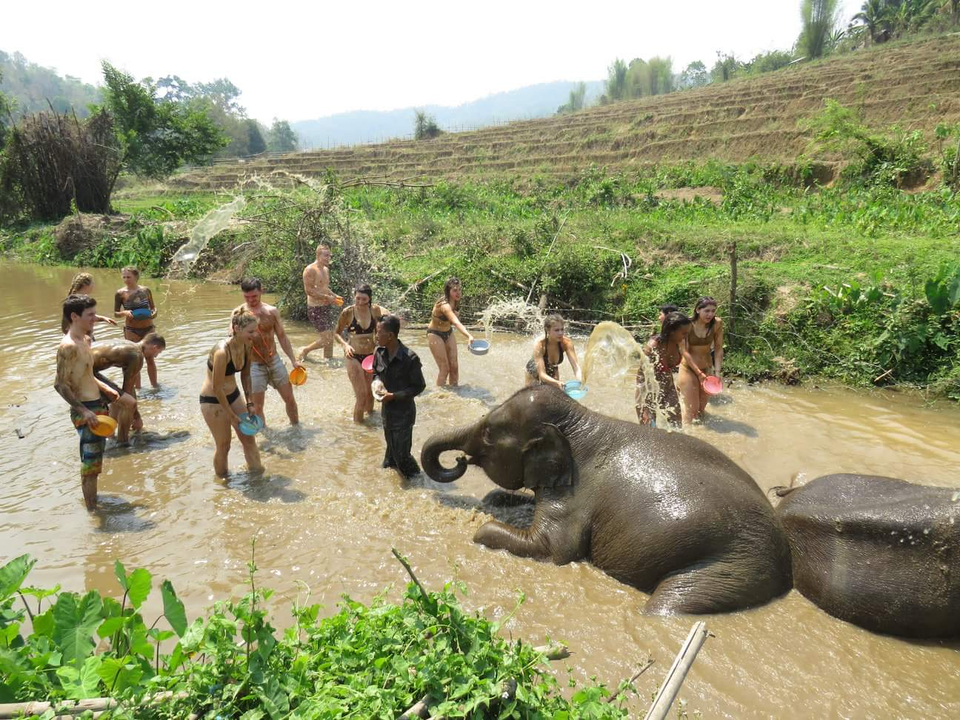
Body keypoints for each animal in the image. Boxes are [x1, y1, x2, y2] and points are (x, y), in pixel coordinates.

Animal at [420, 385, 793, 615]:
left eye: (488, 434)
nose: (460, 460)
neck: (581, 417)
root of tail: (786, 565)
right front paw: (495, 498)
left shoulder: (576, 496)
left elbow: (553, 549)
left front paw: (481, 529)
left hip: (732, 566)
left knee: (668, 603)